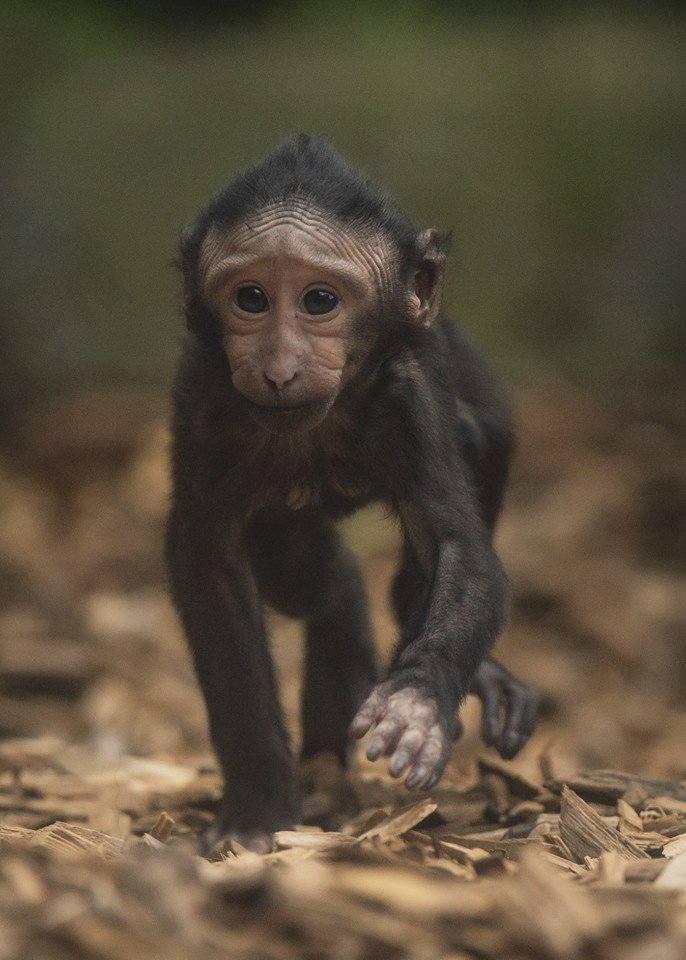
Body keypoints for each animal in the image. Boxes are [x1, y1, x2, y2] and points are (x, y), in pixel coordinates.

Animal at [165, 131, 536, 852]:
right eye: (251, 298)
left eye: (319, 301)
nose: (280, 366)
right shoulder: (203, 401)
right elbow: (209, 563)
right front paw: (258, 811)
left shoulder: (409, 396)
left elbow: (455, 547)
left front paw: (416, 704)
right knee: (315, 580)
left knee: (475, 447)